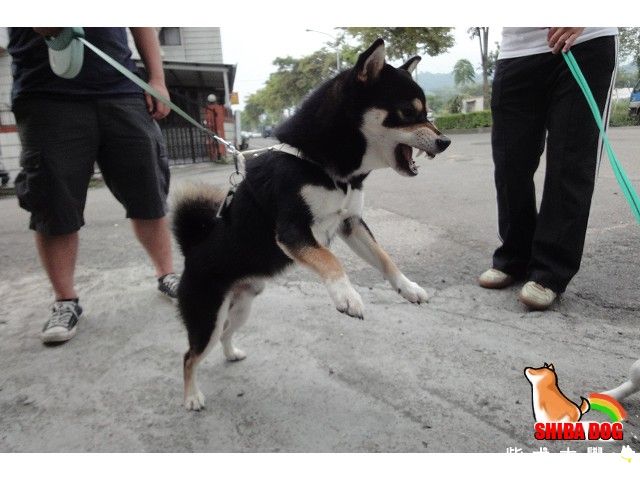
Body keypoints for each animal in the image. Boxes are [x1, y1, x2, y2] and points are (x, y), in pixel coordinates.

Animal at [172, 39, 451, 410]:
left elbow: (384, 258)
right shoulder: (293, 232)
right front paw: (347, 296)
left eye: (427, 113)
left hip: (241, 305)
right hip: (206, 318)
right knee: (190, 356)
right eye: (408, 112)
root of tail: (191, 253)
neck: (322, 165)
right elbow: (331, 261)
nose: (445, 141)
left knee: (225, 334)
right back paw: (191, 396)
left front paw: (408, 288)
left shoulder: (350, 223)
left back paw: (231, 353)